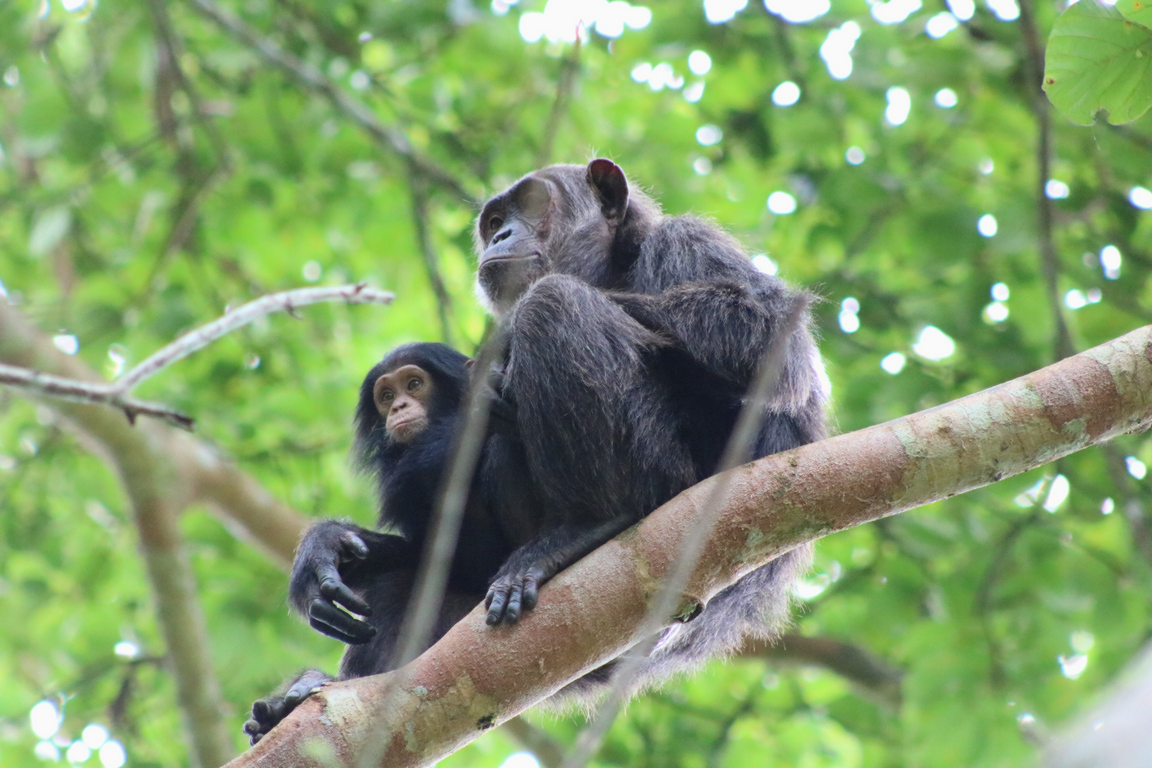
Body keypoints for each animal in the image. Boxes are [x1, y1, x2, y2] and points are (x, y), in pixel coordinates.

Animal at [240, 343, 536, 746]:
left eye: (414, 384)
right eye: (386, 396)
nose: (399, 407)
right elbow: (426, 552)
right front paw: (322, 552)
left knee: (503, 446)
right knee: (394, 585)